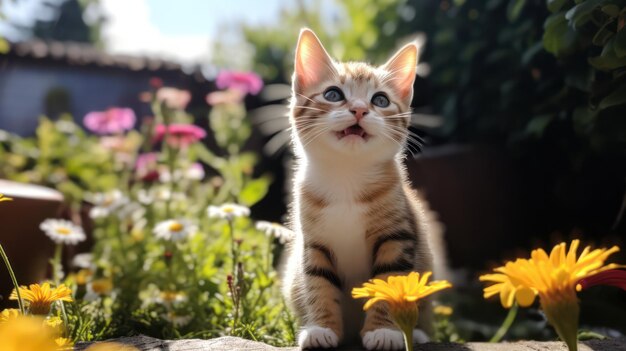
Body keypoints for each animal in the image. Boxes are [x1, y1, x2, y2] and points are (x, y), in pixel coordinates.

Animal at [282, 28, 444, 350]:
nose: (358, 109)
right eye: (333, 94)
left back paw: (417, 333)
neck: (347, 177)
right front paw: (320, 328)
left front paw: (384, 332)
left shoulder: (397, 236)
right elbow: (318, 283)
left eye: (380, 100)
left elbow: (389, 281)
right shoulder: (314, 243)